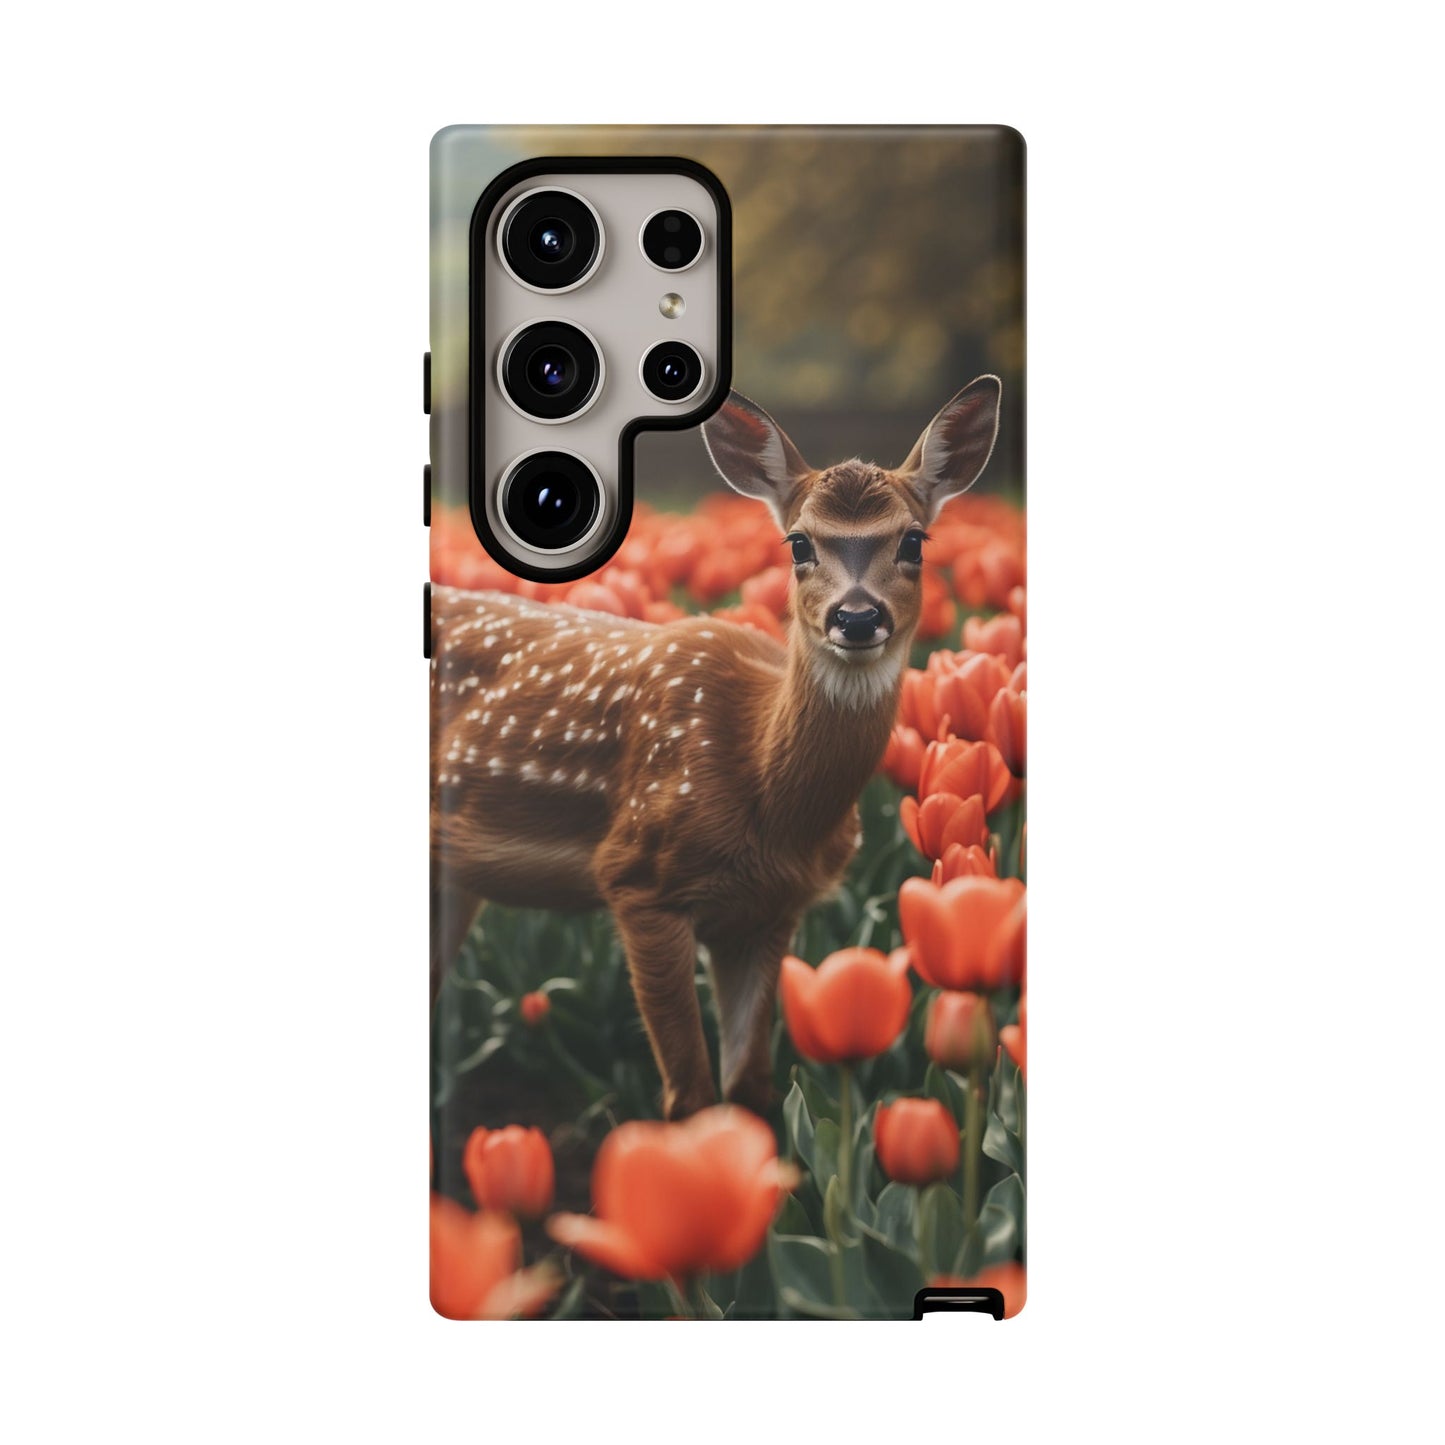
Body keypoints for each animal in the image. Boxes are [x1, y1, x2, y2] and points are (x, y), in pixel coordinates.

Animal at [431, 377, 1002, 1119]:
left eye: (914, 540)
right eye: (798, 543)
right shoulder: (638, 878)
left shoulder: (770, 910)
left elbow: (750, 1087)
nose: (855, 617)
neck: (764, 790)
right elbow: (691, 1098)